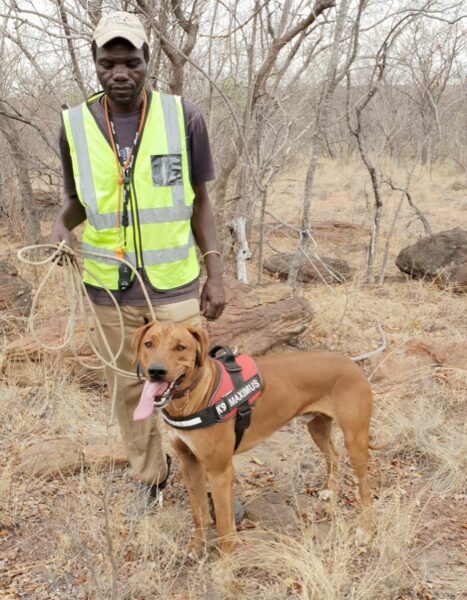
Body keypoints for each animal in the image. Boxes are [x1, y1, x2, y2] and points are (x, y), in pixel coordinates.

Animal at [133, 324, 374, 552]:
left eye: (180, 347)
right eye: (148, 344)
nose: (156, 371)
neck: (196, 397)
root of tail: (350, 362)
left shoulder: (219, 471)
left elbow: (224, 526)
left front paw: (225, 565)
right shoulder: (189, 463)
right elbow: (199, 514)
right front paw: (196, 547)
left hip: (355, 439)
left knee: (364, 486)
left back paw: (364, 528)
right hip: (317, 426)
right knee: (333, 454)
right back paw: (328, 489)